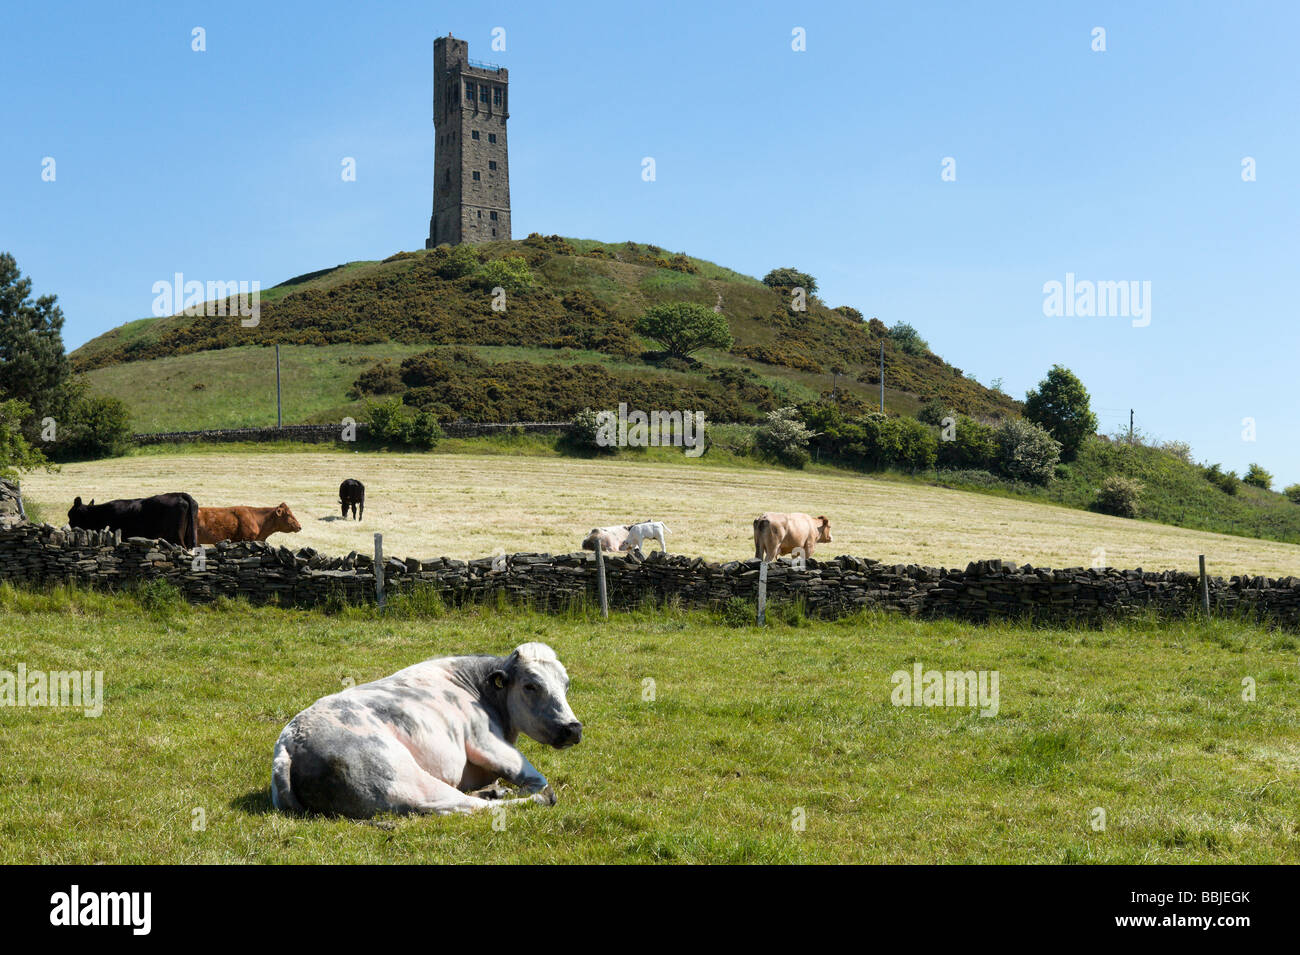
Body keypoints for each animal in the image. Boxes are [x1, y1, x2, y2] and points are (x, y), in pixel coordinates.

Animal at [271, 639, 582, 815]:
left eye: (566, 685)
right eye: (531, 685)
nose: (574, 728)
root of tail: (289, 742)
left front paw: (494, 787)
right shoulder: (484, 740)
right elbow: (537, 779)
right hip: (406, 780)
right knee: (464, 806)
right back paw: (535, 800)